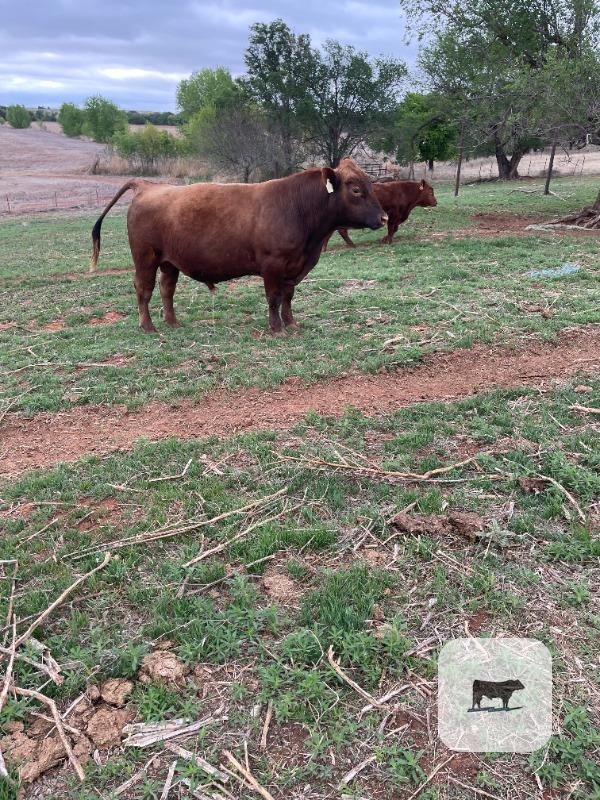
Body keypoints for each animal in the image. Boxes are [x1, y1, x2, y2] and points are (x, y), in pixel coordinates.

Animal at [89, 159, 388, 333]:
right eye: (356, 189)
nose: (383, 218)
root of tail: (146, 185)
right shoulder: (273, 265)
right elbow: (274, 297)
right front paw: (276, 328)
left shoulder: (293, 267)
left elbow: (288, 297)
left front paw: (291, 323)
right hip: (146, 258)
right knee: (144, 289)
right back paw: (148, 326)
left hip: (169, 262)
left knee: (166, 290)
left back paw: (172, 322)